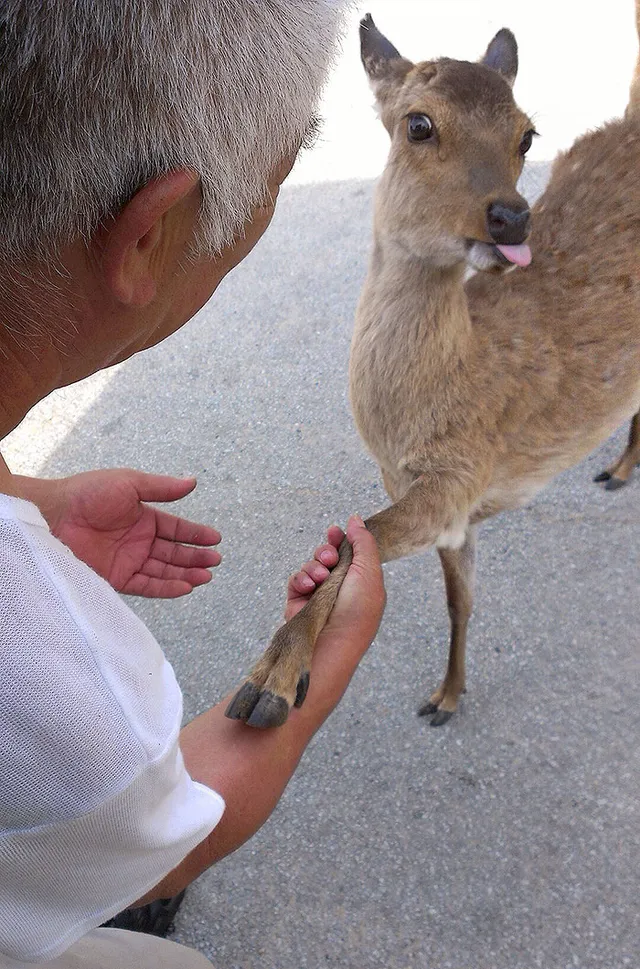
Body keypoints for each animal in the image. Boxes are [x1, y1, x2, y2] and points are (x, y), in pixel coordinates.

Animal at [226, 7, 640, 728]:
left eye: (526, 133)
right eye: (418, 123)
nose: (511, 217)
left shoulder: (458, 476)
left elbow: (354, 545)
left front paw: (269, 684)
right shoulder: (439, 500)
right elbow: (456, 597)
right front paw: (445, 696)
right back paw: (617, 469)